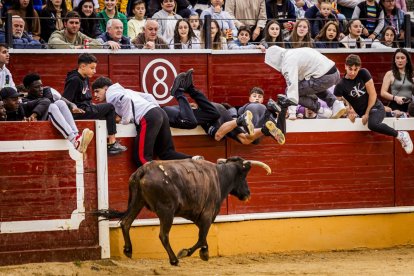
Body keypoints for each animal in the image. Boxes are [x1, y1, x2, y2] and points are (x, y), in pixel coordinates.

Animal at [97, 155, 272, 266]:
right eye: (244, 176)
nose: (247, 194)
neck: (220, 176)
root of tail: (143, 170)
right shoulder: (208, 214)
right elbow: (201, 238)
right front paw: (187, 252)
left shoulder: (200, 216)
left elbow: (204, 237)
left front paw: (205, 253)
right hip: (166, 210)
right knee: (163, 235)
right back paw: (174, 259)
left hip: (137, 202)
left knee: (126, 223)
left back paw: (128, 250)